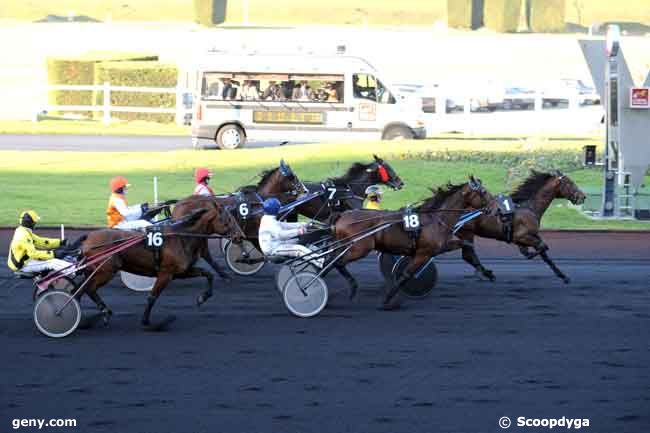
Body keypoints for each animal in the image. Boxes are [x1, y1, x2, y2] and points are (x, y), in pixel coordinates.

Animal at [79, 201, 242, 330]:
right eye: (228, 219)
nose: (240, 236)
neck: (181, 237)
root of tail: (88, 237)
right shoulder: (166, 273)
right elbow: (152, 296)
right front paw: (147, 322)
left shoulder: (181, 272)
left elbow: (208, 274)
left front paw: (203, 297)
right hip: (106, 271)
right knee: (89, 289)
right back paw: (104, 312)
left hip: (95, 271)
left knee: (81, 290)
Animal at [330, 174, 492, 308]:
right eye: (484, 192)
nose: (494, 209)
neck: (435, 219)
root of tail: (342, 216)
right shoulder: (423, 253)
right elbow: (406, 274)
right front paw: (388, 299)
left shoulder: (441, 246)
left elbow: (466, 245)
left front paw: (487, 272)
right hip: (359, 248)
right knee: (338, 263)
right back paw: (351, 288)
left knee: (332, 261)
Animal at [456, 169, 588, 284]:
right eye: (570, 183)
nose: (583, 196)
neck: (528, 207)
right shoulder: (521, 236)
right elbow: (543, 246)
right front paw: (528, 253)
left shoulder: (532, 235)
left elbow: (545, 254)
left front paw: (563, 276)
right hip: (466, 232)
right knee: (468, 255)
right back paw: (485, 273)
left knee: (468, 255)